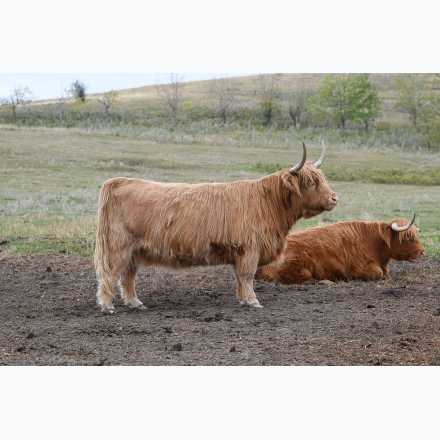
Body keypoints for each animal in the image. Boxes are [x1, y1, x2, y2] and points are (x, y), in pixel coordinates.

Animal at [94, 143, 337, 313]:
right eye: (310, 182)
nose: (334, 198)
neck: (268, 203)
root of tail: (119, 181)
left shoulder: (240, 252)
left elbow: (239, 277)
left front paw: (242, 300)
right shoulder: (250, 249)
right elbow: (247, 276)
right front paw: (253, 301)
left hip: (134, 251)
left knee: (128, 276)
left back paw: (135, 303)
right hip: (118, 247)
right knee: (110, 274)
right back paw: (107, 306)